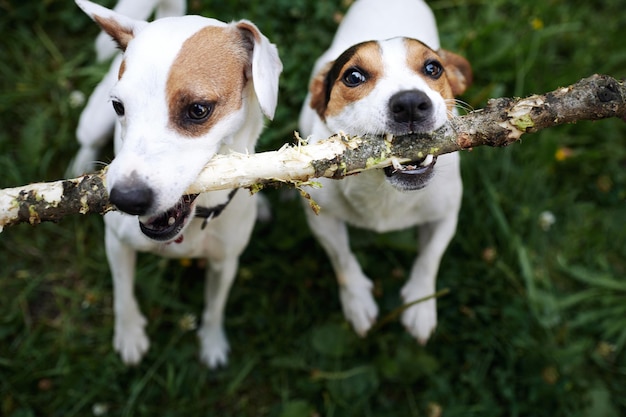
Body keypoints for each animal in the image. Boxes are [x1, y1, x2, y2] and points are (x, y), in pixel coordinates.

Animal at [75, 0, 282, 366]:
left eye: (198, 109)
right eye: (119, 106)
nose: (125, 199)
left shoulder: (225, 263)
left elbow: (215, 308)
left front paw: (212, 342)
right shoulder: (116, 244)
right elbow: (122, 293)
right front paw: (129, 333)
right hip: (92, 121)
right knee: (85, 140)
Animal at [298, 0, 468, 342]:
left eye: (433, 68)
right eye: (353, 76)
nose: (411, 103)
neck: (385, 191)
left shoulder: (446, 214)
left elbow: (430, 257)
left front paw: (421, 303)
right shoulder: (321, 218)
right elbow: (342, 259)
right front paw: (357, 301)